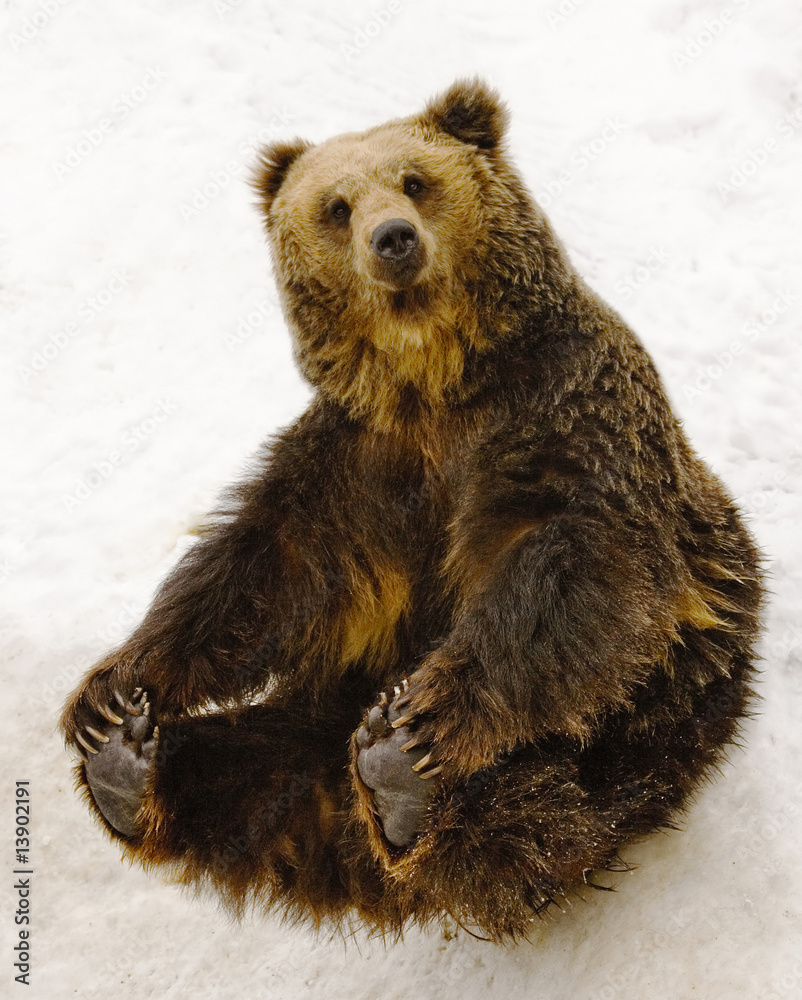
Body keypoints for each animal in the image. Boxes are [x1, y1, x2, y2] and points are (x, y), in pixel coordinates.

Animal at [60, 78, 764, 942]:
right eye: (335, 205)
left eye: (415, 180)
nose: (391, 239)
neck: (432, 379)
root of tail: (345, 850)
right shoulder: (355, 468)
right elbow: (260, 570)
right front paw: (111, 689)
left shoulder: (564, 409)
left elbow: (572, 566)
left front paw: (424, 718)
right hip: (307, 730)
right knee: (244, 774)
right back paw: (127, 767)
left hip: (646, 727)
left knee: (542, 812)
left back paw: (402, 784)